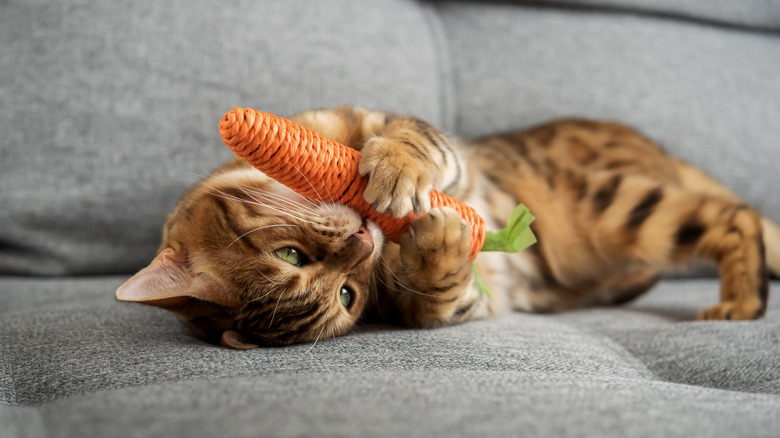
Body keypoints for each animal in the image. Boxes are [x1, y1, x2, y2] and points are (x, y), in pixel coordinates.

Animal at [114, 106, 772, 350]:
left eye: (290, 255)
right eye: (348, 296)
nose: (364, 242)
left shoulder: (410, 135)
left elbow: (410, 141)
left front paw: (393, 169)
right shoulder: (458, 302)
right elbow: (439, 294)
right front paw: (437, 247)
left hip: (611, 204)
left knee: (740, 216)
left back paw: (741, 301)